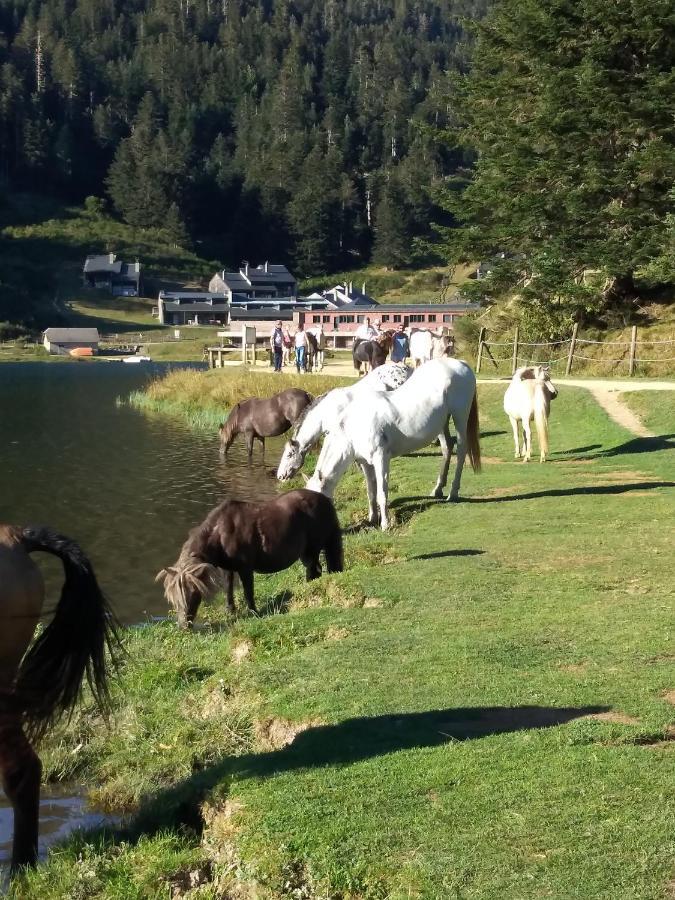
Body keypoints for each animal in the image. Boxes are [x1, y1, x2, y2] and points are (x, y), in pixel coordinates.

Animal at [157, 488, 344, 628]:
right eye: (173, 598)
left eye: (194, 593)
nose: (184, 626)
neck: (221, 532)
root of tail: (325, 500)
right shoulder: (227, 568)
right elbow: (228, 588)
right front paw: (230, 611)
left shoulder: (245, 569)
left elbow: (248, 592)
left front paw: (253, 612)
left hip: (311, 550)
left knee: (314, 569)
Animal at [304, 356, 484, 532]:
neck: (356, 426)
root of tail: (461, 364)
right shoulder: (365, 463)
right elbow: (371, 491)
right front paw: (372, 519)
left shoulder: (381, 458)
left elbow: (382, 492)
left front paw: (385, 525)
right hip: (442, 423)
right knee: (447, 447)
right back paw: (438, 489)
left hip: (460, 416)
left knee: (461, 450)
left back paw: (453, 493)